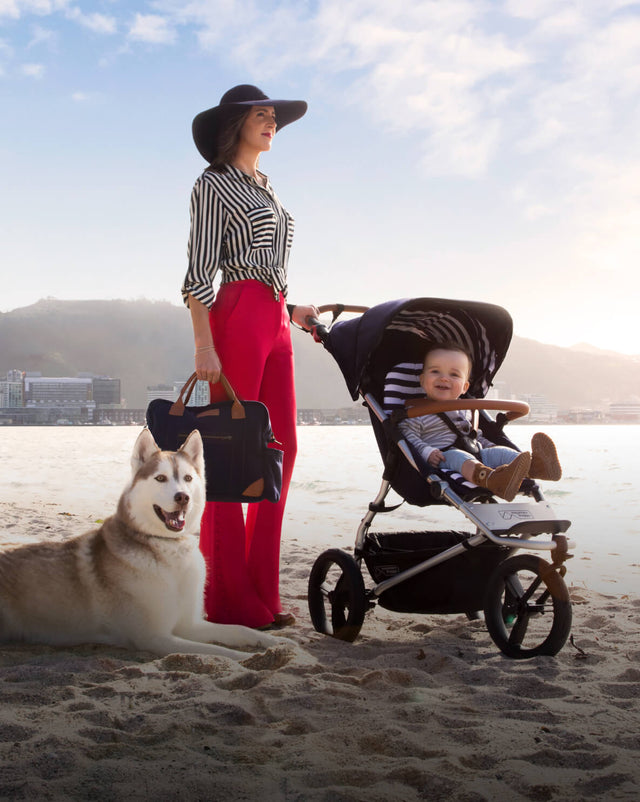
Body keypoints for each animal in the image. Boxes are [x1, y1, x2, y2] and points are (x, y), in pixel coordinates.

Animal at [0, 428, 282, 660]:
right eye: (160, 478)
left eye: (188, 478)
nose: (183, 497)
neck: (169, 549)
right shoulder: (155, 637)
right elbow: (218, 652)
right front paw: (248, 658)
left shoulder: (189, 624)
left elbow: (240, 629)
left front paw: (275, 643)